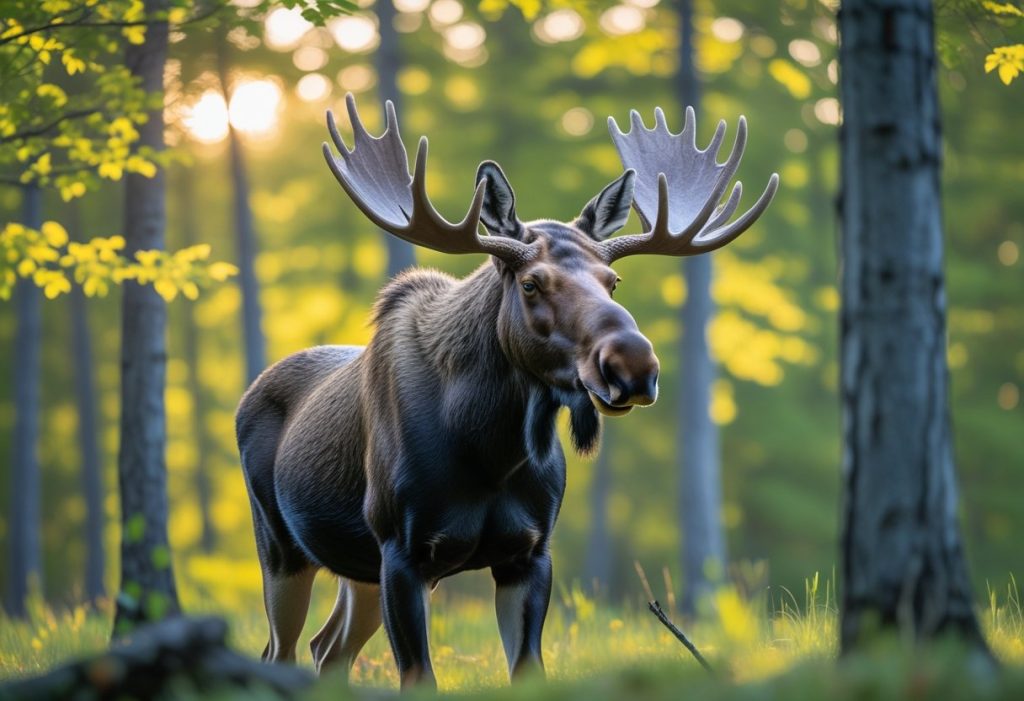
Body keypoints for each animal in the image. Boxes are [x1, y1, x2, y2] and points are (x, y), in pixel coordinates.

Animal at [235, 94, 778, 689]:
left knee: (327, 649)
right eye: (531, 282)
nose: (633, 366)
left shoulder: (529, 551)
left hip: (356, 568)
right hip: (281, 546)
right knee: (279, 652)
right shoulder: (401, 551)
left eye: (613, 282)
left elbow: (527, 668)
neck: (489, 454)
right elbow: (419, 676)